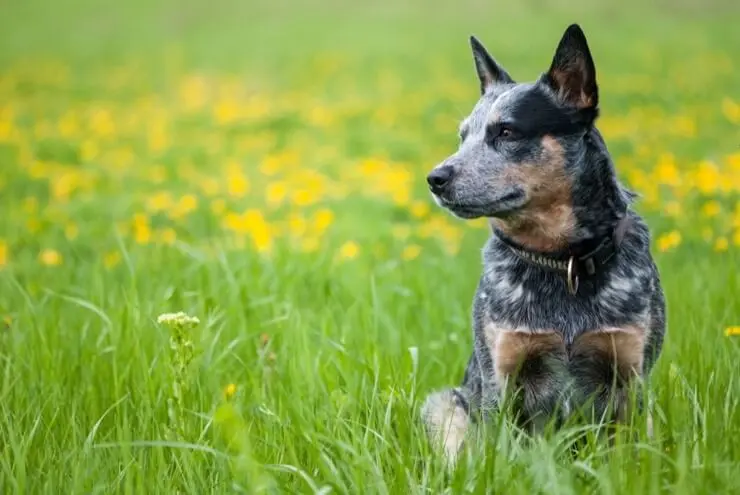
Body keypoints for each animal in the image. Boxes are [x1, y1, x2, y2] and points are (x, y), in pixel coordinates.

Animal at [420, 23, 668, 464]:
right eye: (463, 136)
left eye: (506, 131)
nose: (435, 178)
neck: (561, 260)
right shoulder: (503, 375)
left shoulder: (630, 373)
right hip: (444, 404)